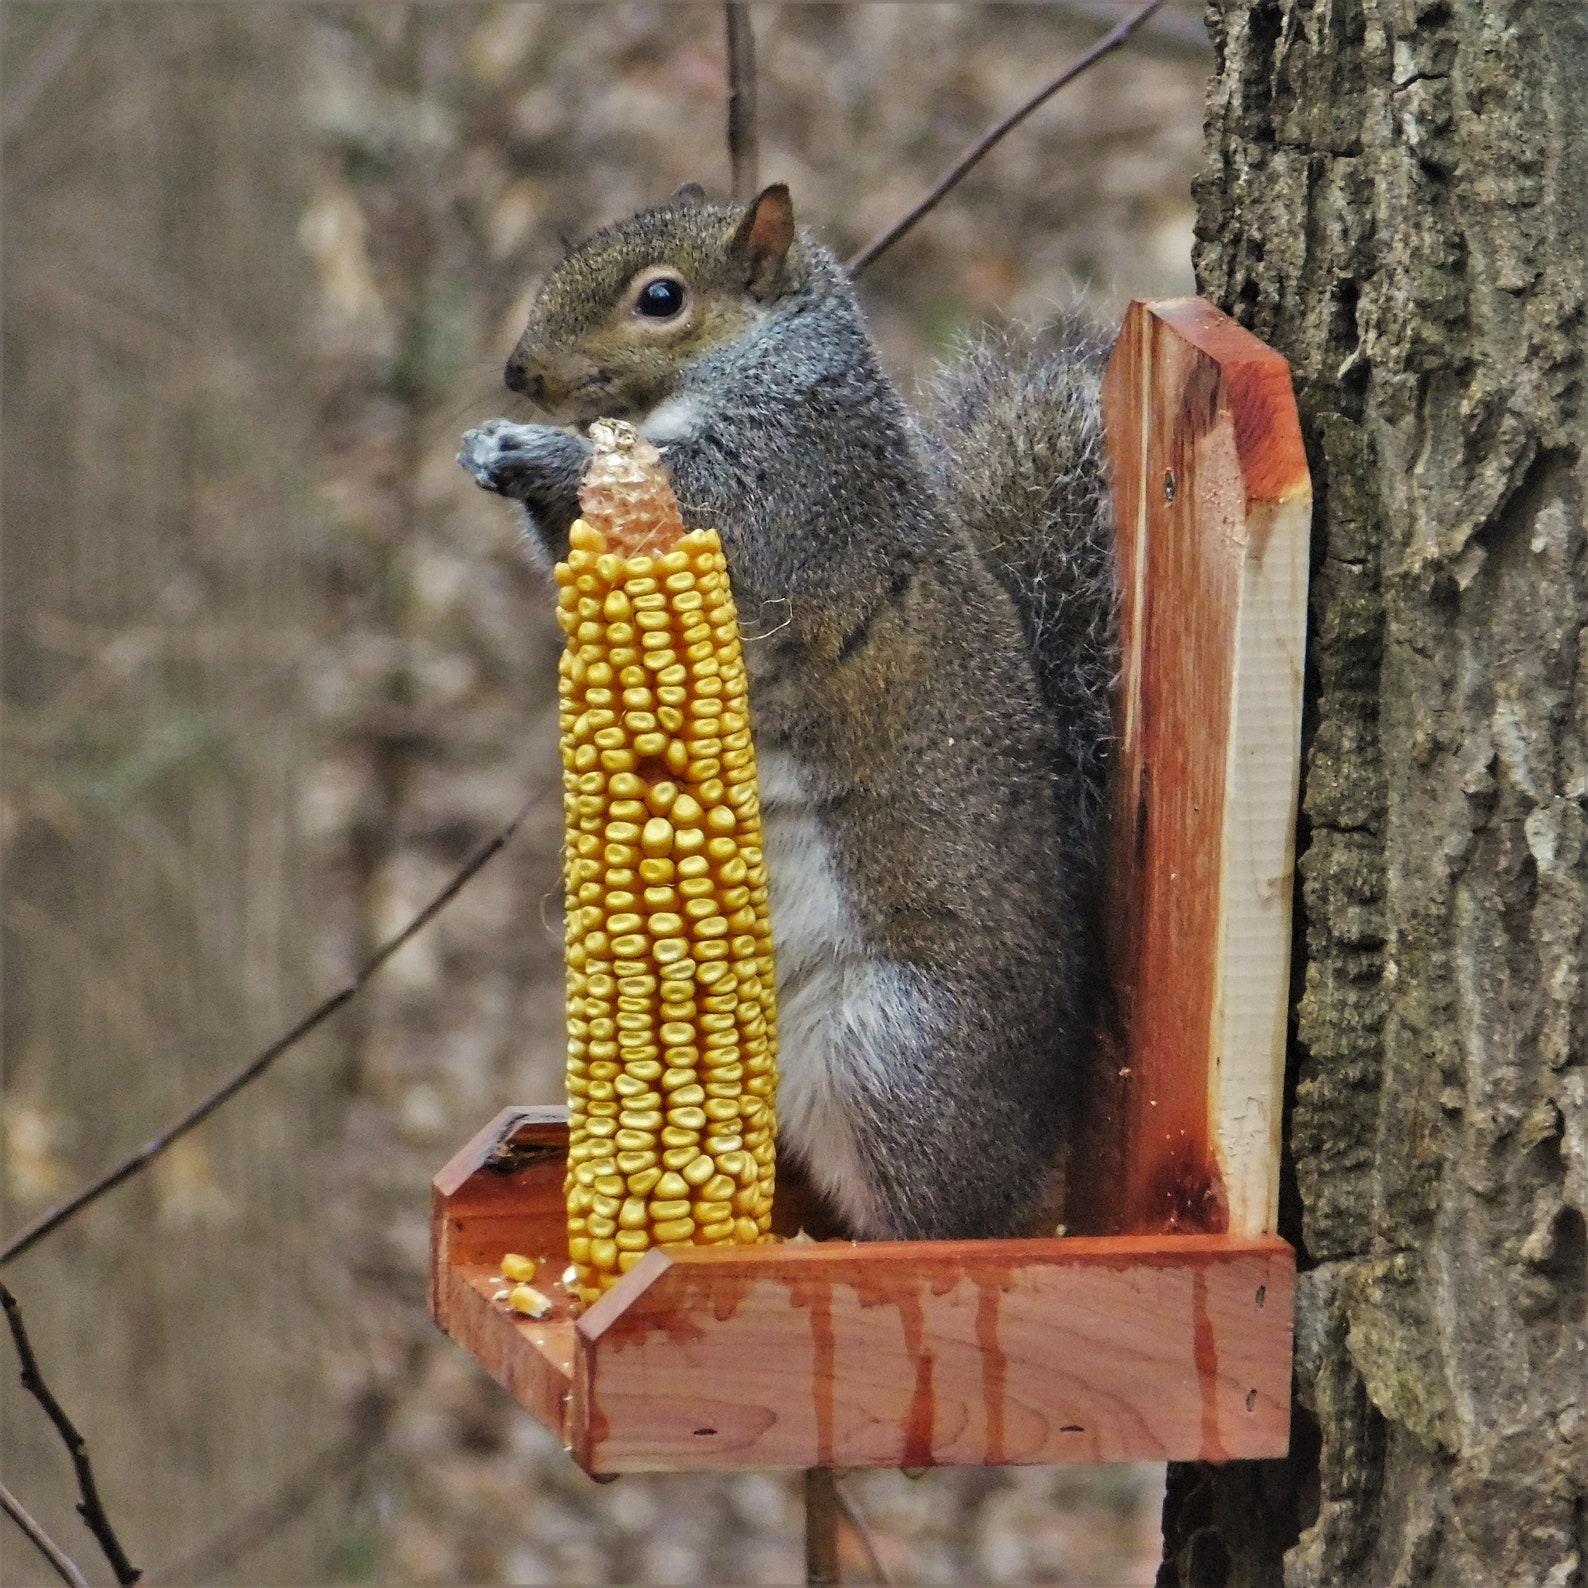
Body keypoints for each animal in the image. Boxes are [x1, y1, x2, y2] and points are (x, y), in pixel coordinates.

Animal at [460, 182, 1114, 1242]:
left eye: (661, 297)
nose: (521, 374)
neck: (762, 361)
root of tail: (1042, 1159)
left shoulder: (792, 478)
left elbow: (704, 506)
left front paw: (544, 451)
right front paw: (492, 450)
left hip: (893, 1049)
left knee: (942, 1218)